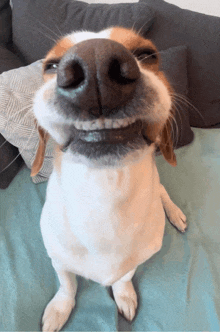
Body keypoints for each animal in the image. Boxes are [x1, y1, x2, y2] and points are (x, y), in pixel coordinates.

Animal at [31, 26, 187, 332]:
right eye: (51, 65)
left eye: (147, 54)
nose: (95, 61)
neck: (104, 195)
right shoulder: (58, 260)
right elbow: (67, 286)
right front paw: (60, 309)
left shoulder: (134, 261)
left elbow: (123, 278)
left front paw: (123, 295)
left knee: (163, 191)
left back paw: (175, 213)